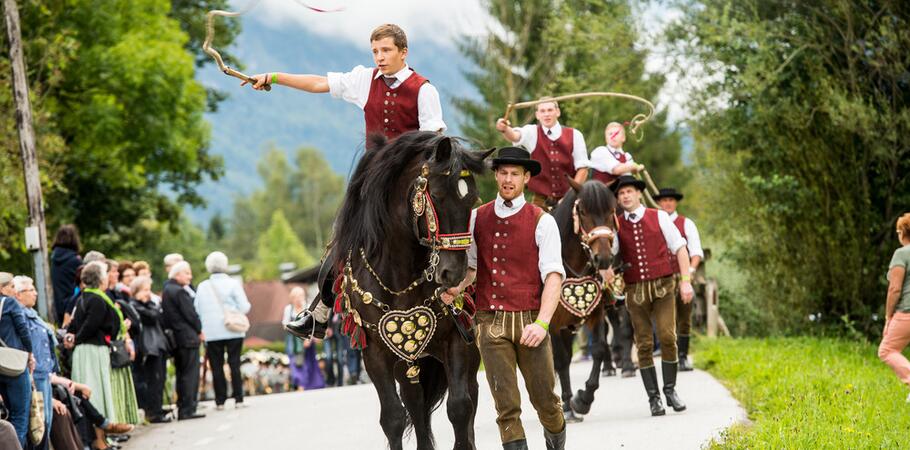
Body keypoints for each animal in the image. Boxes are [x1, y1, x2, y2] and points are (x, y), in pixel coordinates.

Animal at [330, 133, 492, 450]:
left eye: (473, 200)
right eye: (437, 196)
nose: (453, 274)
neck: (400, 276)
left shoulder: (457, 339)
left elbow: (460, 406)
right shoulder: (375, 353)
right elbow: (393, 417)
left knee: (469, 394)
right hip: (407, 360)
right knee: (414, 404)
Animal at [548, 178, 620, 422]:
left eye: (611, 211)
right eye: (583, 211)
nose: (603, 258)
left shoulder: (595, 314)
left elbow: (598, 348)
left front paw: (582, 400)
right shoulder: (551, 323)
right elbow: (560, 360)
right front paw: (569, 406)